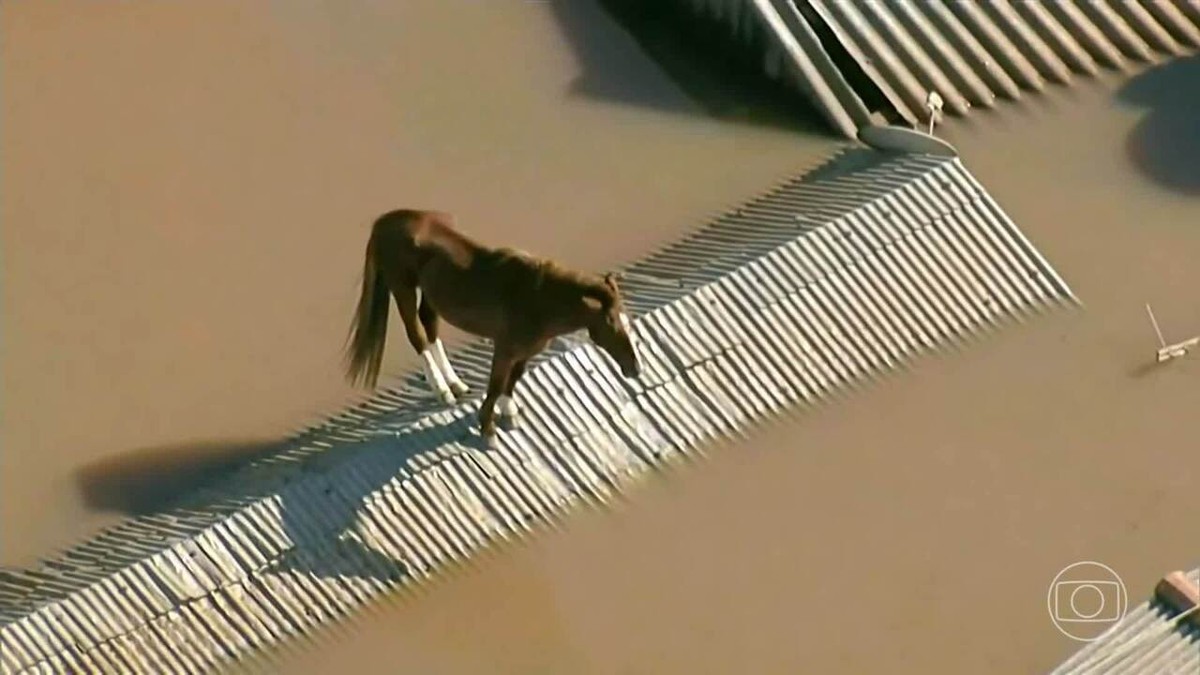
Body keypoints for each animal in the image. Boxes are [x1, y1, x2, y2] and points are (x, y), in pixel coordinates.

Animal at [344, 209, 641, 445]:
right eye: (613, 327)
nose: (635, 369)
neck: (539, 297)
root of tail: (386, 220)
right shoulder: (505, 349)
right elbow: (497, 385)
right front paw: (488, 430)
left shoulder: (525, 352)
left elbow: (513, 380)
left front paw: (509, 413)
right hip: (402, 287)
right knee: (417, 334)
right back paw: (443, 391)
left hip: (430, 294)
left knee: (429, 326)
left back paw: (455, 384)